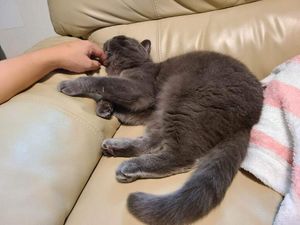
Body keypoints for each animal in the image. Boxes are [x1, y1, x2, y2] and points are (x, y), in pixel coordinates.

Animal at [58, 35, 262, 225]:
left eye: (123, 40)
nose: (111, 39)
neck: (125, 69)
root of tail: (250, 119)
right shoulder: (140, 109)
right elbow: (110, 94)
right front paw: (104, 108)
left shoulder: (138, 89)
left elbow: (103, 82)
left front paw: (70, 85)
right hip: (163, 113)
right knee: (152, 142)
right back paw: (115, 147)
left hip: (181, 99)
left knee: (180, 156)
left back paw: (129, 167)